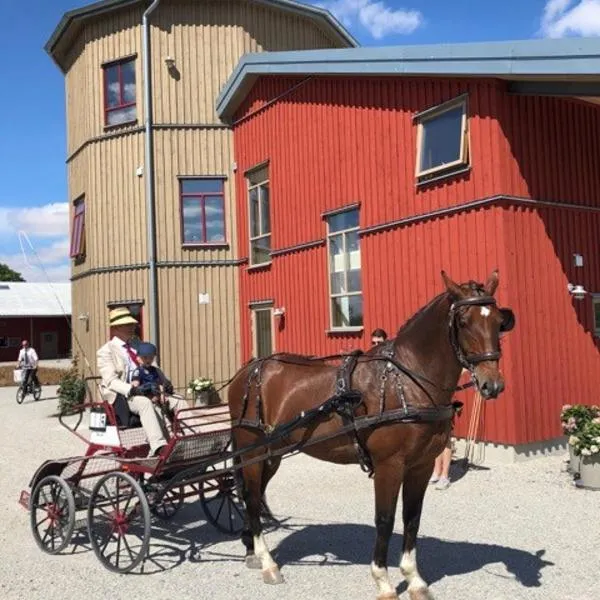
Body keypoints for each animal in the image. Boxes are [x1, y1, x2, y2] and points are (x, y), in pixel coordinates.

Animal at [227, 272, 512, 600]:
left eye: (498, 321)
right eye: (463, 321)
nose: (493, 384)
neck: (406, 382)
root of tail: (248, 370)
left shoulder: (421, 466)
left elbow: (412, 518)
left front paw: (414, 579)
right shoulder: (390, 465)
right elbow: (385, 520)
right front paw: (384, 582)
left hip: (272, 453)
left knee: (256, 495)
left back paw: (251, 549)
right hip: (251, 450)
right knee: (250, 497)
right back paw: (267, 562)